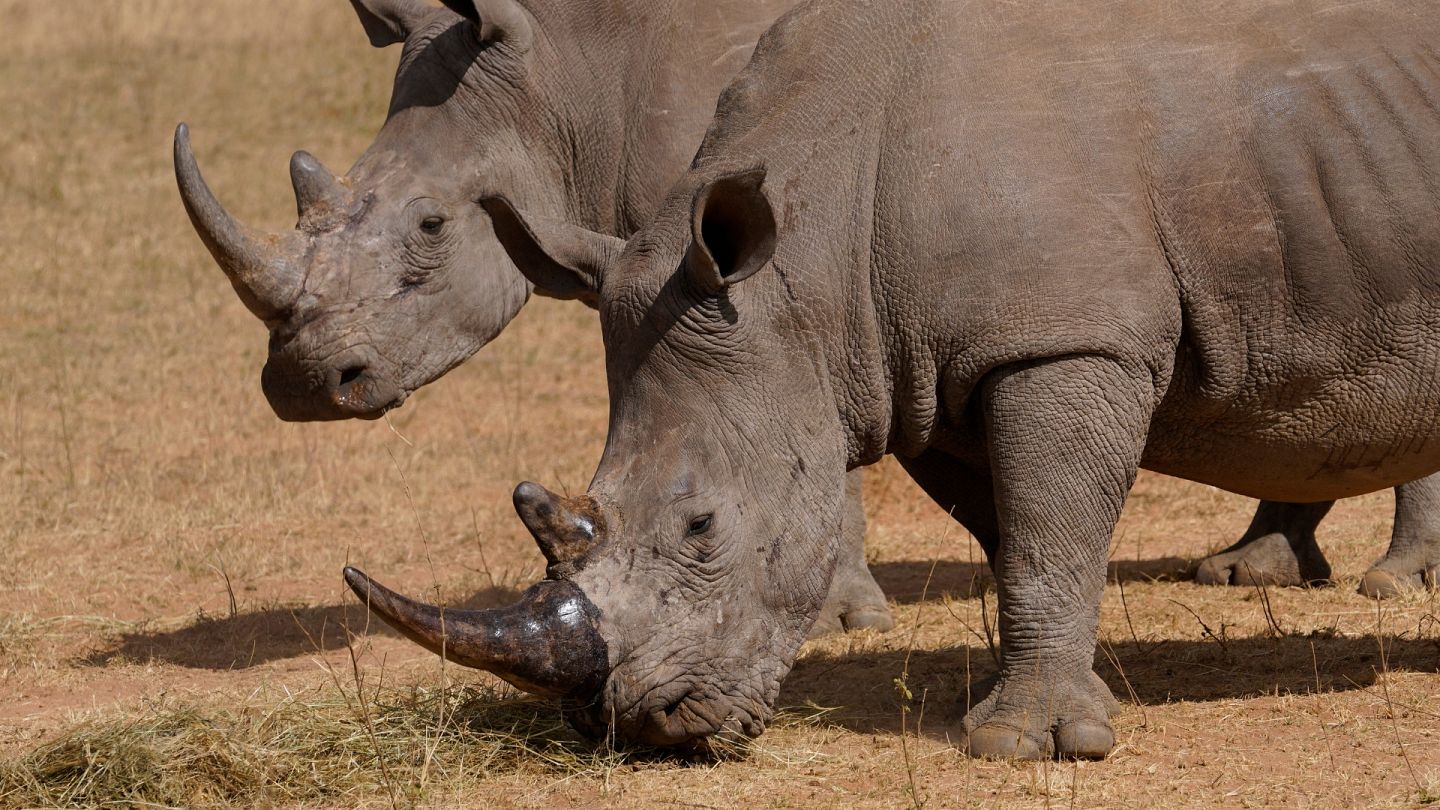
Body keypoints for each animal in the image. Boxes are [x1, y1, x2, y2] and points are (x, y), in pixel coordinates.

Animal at [347, 0, 1440, 758]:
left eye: (701, 527)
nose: (637, 726)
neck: (811, 257)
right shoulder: (928, 373)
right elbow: (1016, 536)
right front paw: (1006, 697)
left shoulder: (1061, 340)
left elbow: (1048, 536)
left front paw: (1027, 744)